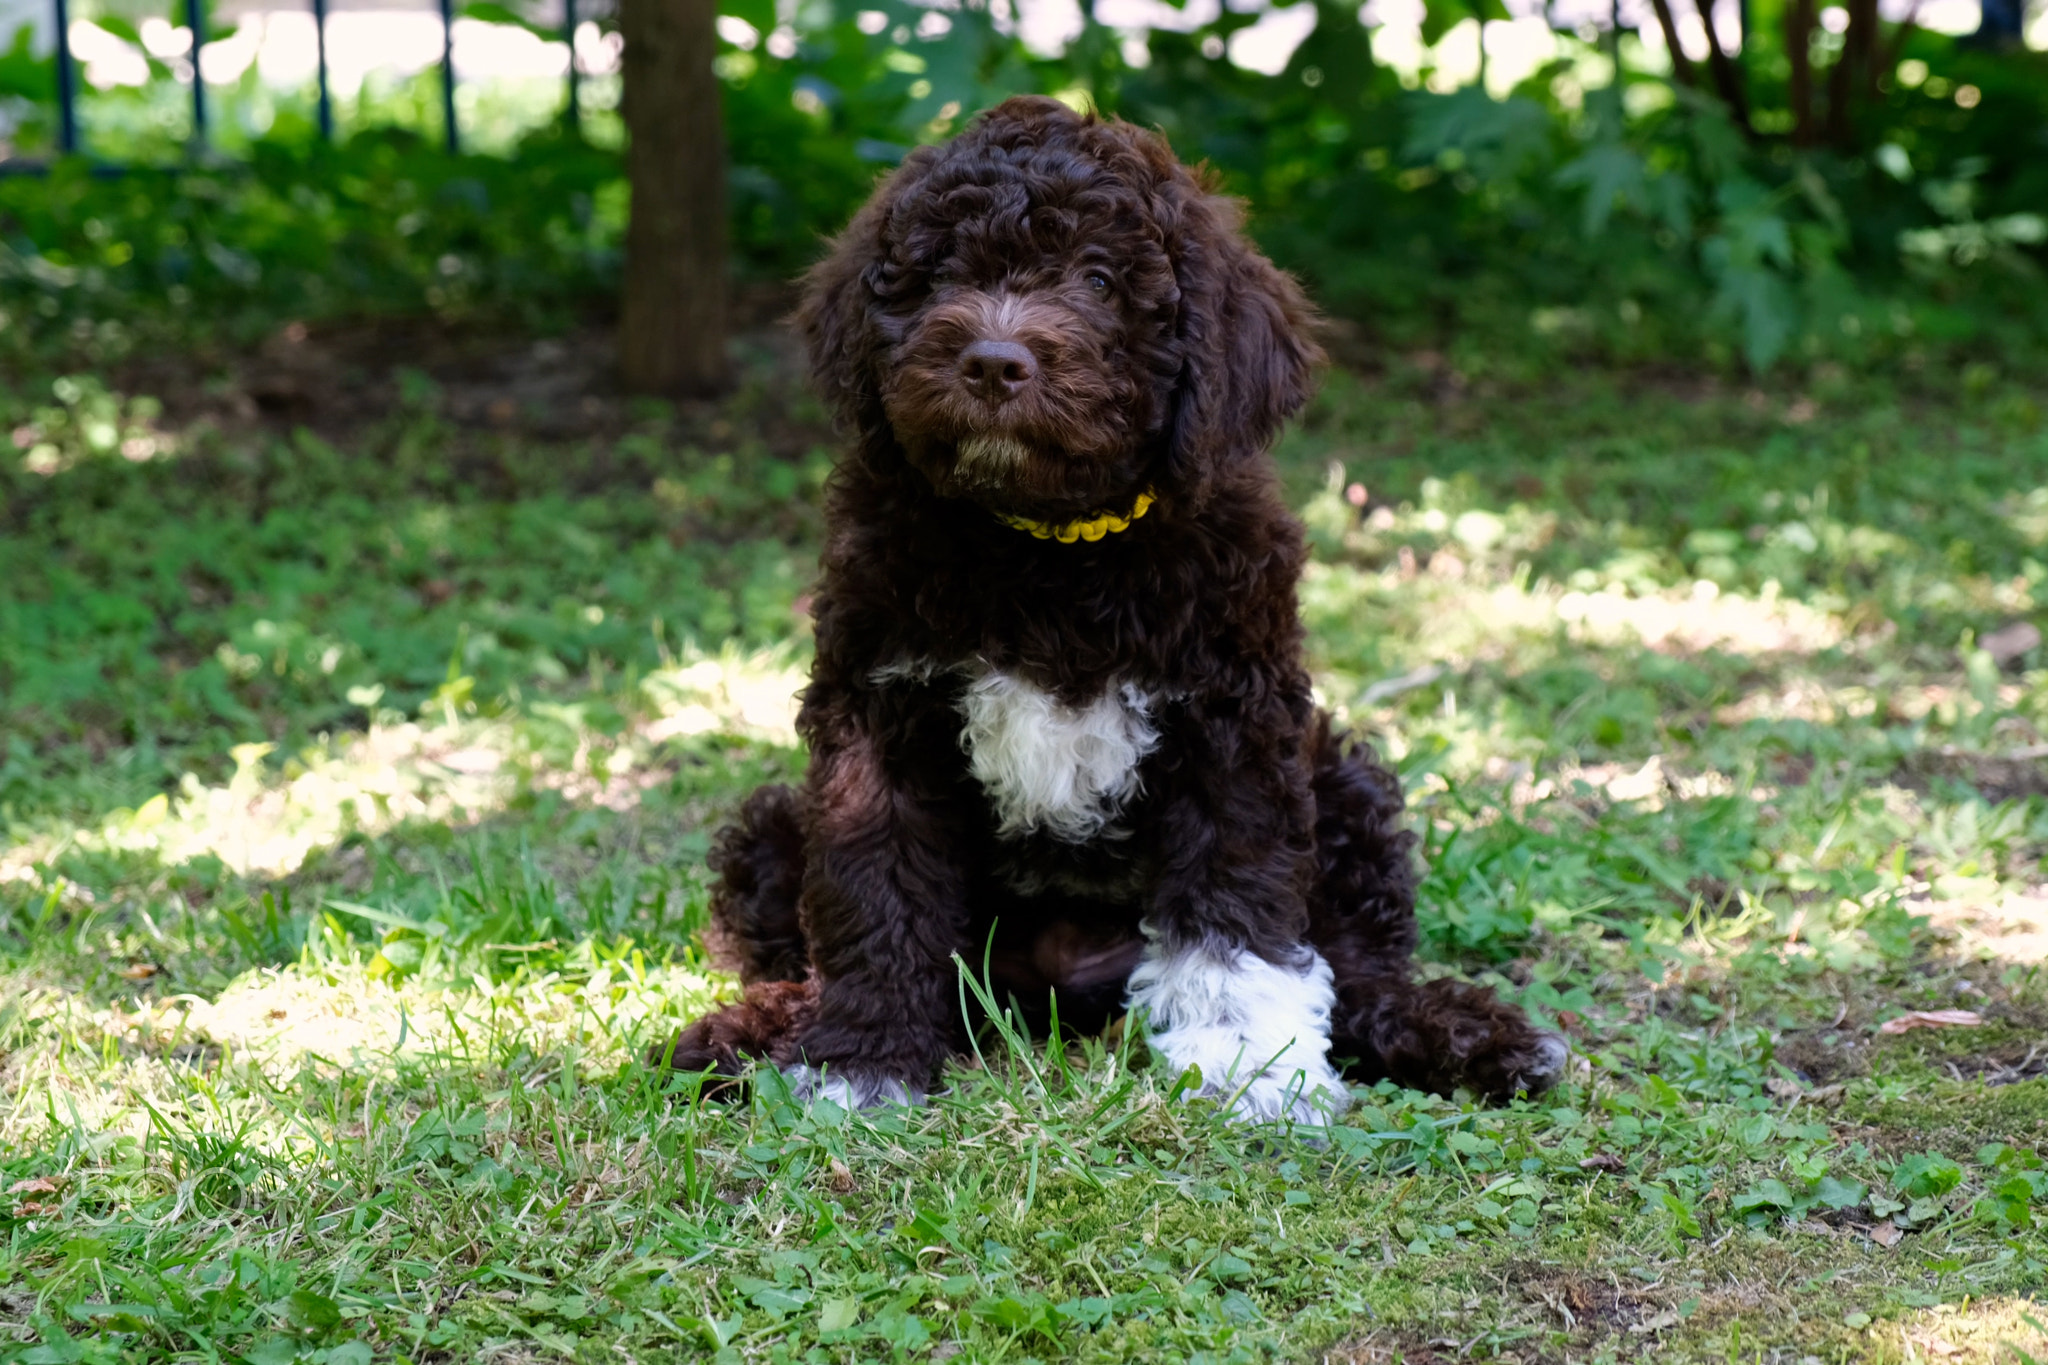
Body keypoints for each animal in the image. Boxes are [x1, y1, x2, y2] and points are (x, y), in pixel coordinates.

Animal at [655, 96, 1564, 1121]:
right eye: (941, 276)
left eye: (1098, 278)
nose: (994, 362)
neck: (1052, 545)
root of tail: (1068, 986)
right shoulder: (876, 713)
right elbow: (874, 884)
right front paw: (862, 1059)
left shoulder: (1232, 717)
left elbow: (1234, 899)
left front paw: (1247, 1061)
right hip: (776, 826)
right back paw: (748, 1033)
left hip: (1342, 784)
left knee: (1358, 968)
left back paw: (1465, 1035)